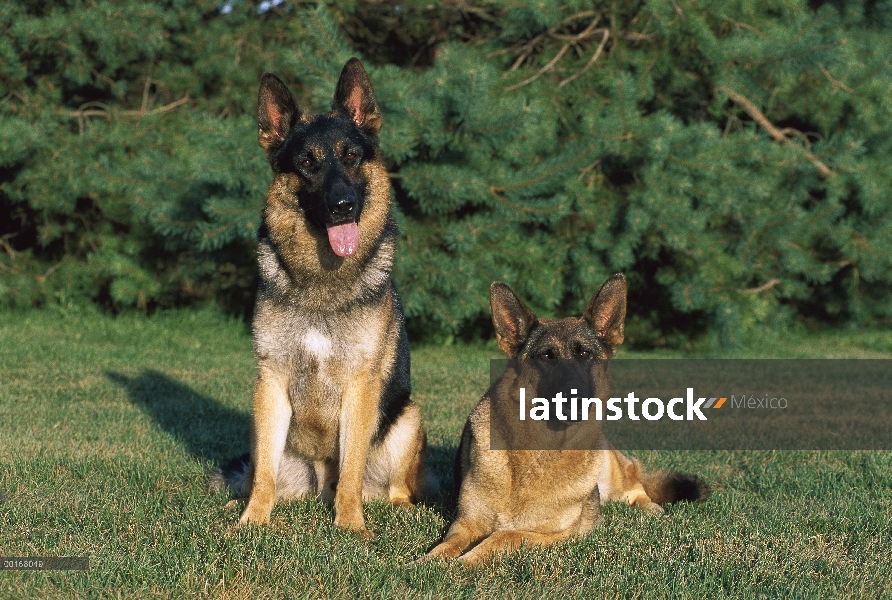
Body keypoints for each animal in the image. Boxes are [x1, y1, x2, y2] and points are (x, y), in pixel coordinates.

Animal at [216, 58, 440, 536]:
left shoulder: (360, 386)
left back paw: (400, 509)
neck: (322, 282)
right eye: (306, 163)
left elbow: (352, 467)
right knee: (265, 473)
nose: (343, 207)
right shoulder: (271, 382)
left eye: (351, 156)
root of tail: (320, 479)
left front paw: (350, 525)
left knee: (394, 487)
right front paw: (252, 520)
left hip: (408, 419)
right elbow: (262, 475)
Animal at [422, 274, 708, 564]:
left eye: (585, 354)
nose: (575, 397)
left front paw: (465, 561)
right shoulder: (464, 524)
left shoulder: (556, 535)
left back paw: (650, 508)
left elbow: (504, 536)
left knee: (636, 486)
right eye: (546, 356)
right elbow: (447, 545)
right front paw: (430, 562)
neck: (539, 451)